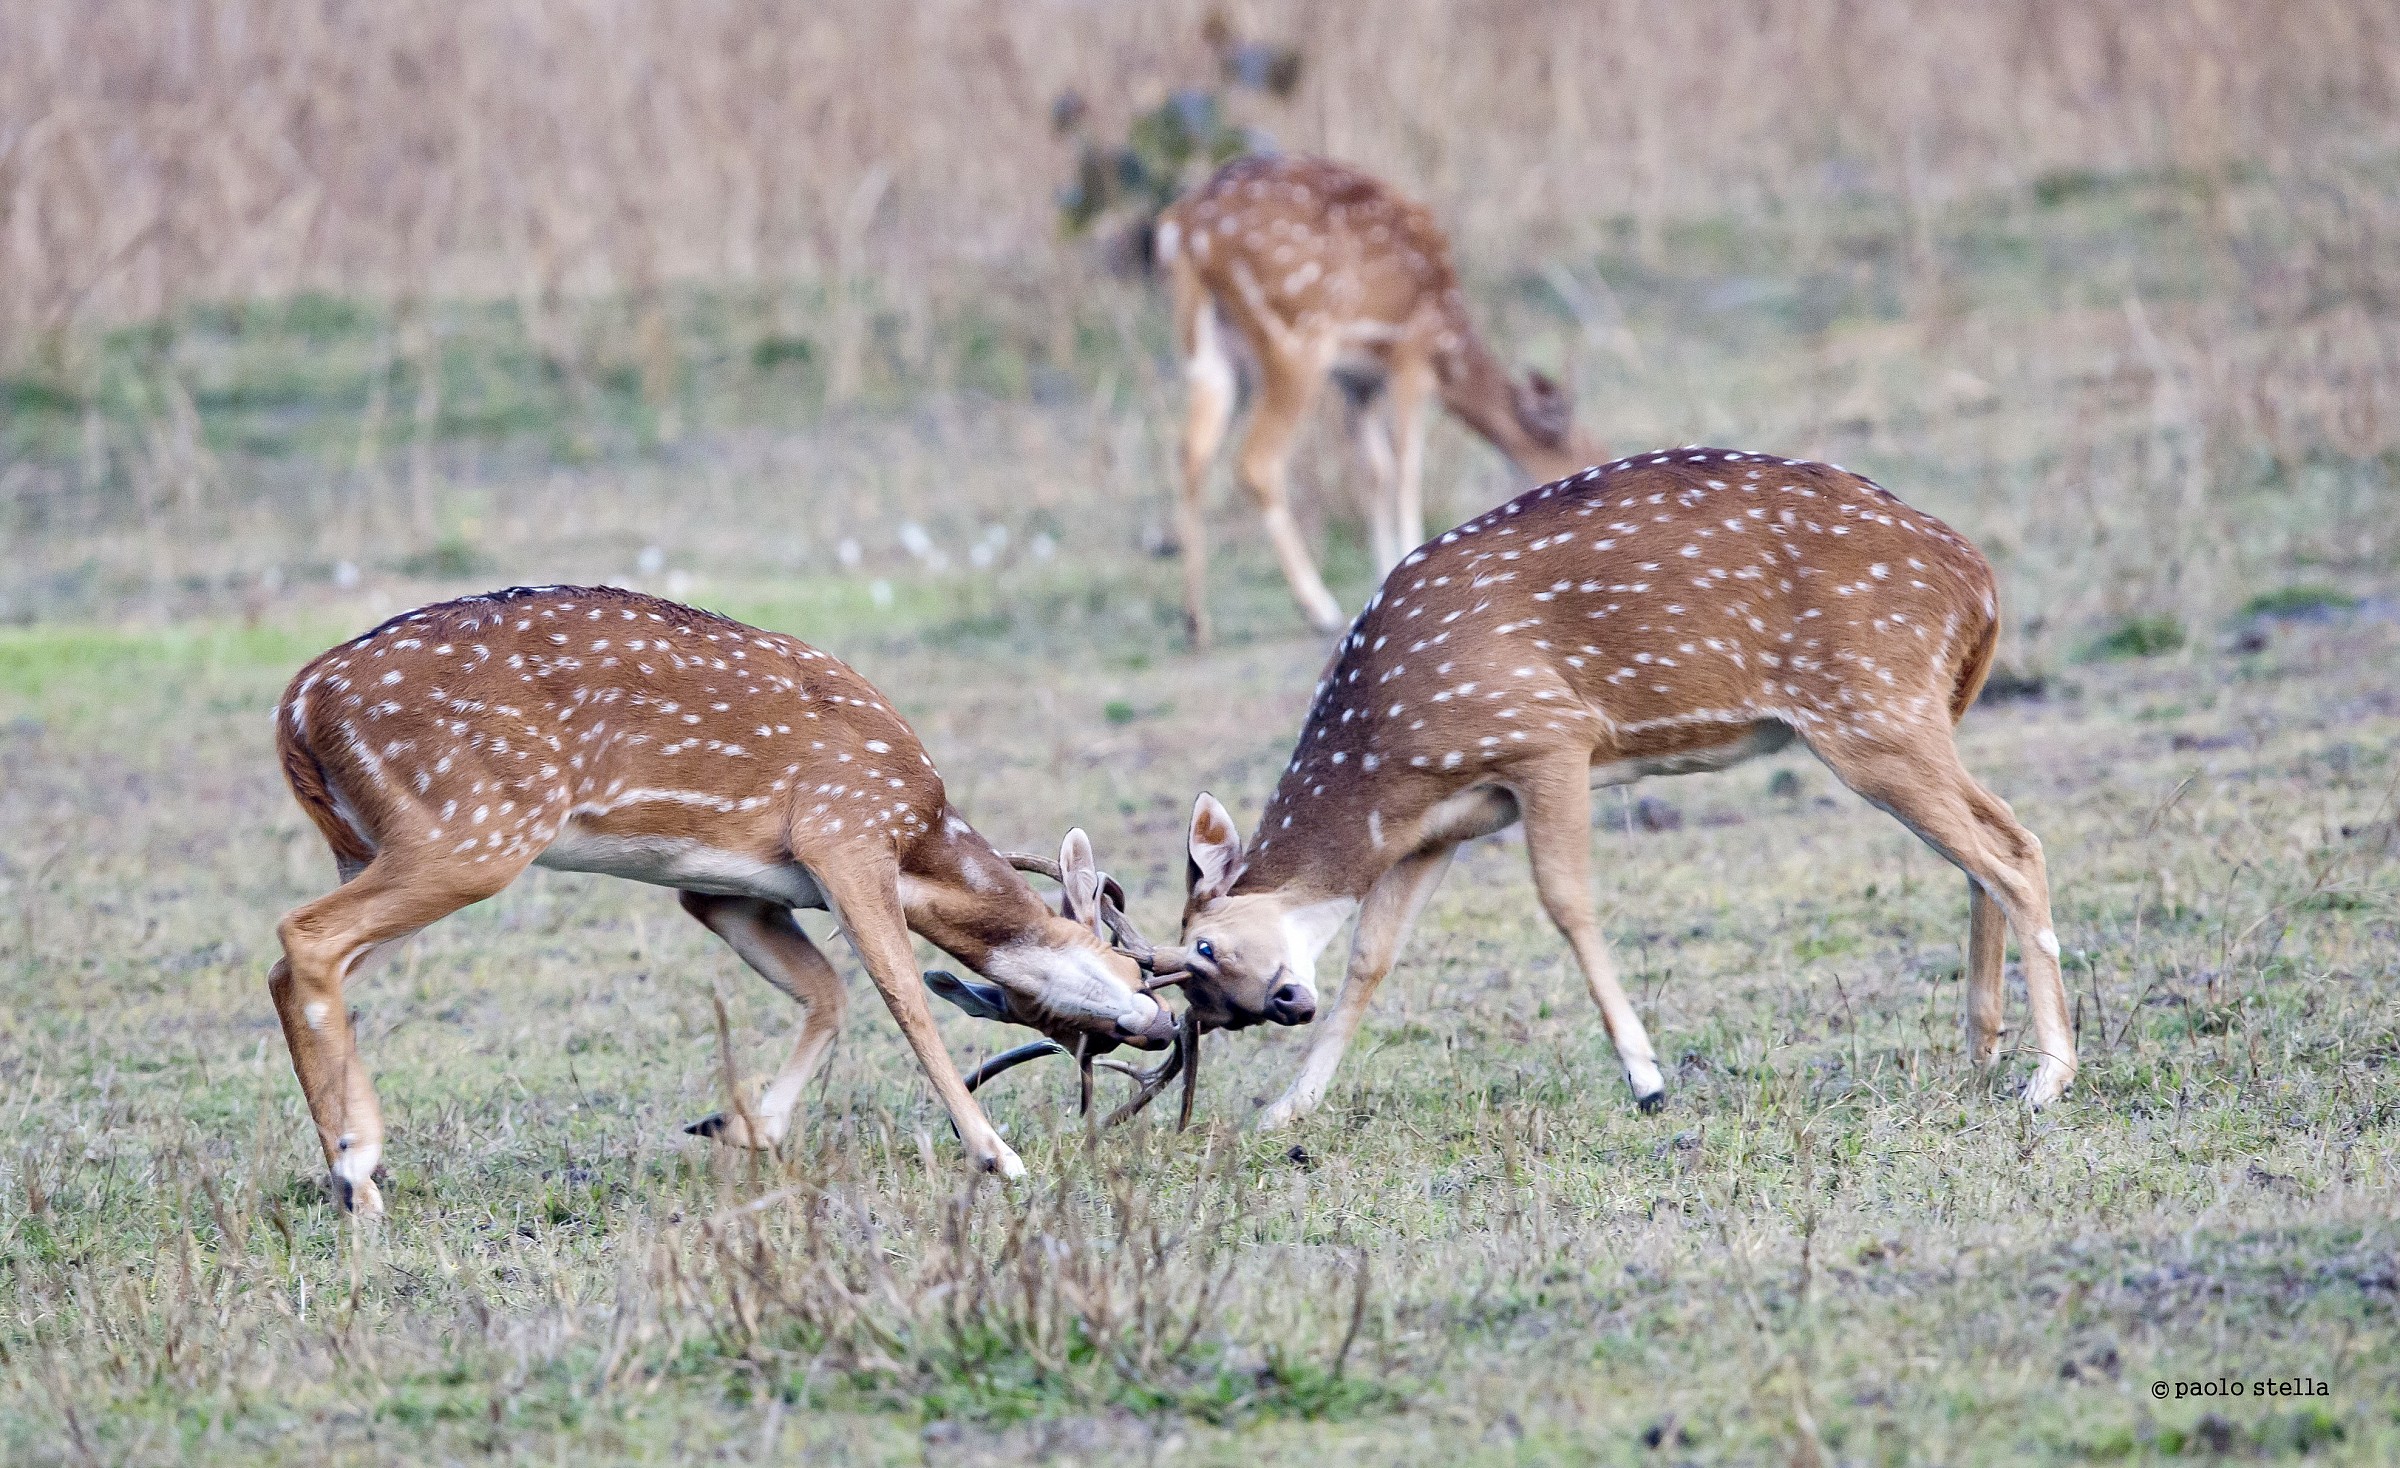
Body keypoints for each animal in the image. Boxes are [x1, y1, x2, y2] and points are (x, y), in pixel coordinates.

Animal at [268, 585, 1177, 1214]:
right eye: (1131, 966)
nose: (1166, 1024)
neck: (922, 836)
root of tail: (298, 704)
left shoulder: (724, 891)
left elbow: (828, 991)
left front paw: (741, 1128)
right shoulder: (844, 830)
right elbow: (902, 995)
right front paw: (996, 1155)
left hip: (373, 842)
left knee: (300, 966)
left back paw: (355, 1178)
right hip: (474, 831)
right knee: (302, 934)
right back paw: (355, 1161)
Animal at [1132, 448, 2074, 1128]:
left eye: (1204, 949)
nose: (1284, 1003)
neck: (1387, 757)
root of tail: (1981, 585)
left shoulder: (1547, 737)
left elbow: (1565, 900)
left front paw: (1648, 1078)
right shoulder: (1445, 823)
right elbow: (1373, 953)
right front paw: (1284, 1110)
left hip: (1872, 711)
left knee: (2013, 852)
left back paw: (2049, 1078)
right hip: (1914, 714)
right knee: (1996, 841)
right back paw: (1982, 1052)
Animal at [1155, 153, 1605, 648]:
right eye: (1581, 456)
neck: (1451, 338)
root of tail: (1183, 227)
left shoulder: (1359, 383)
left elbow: (1376, 470)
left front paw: (1385, 571)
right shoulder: (1411, 356)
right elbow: (1406, 463)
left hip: (1206, 350)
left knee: (1191, 453)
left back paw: (1196, 621)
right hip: (1296, 340)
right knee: (1255, 461)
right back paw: (1318, 608)